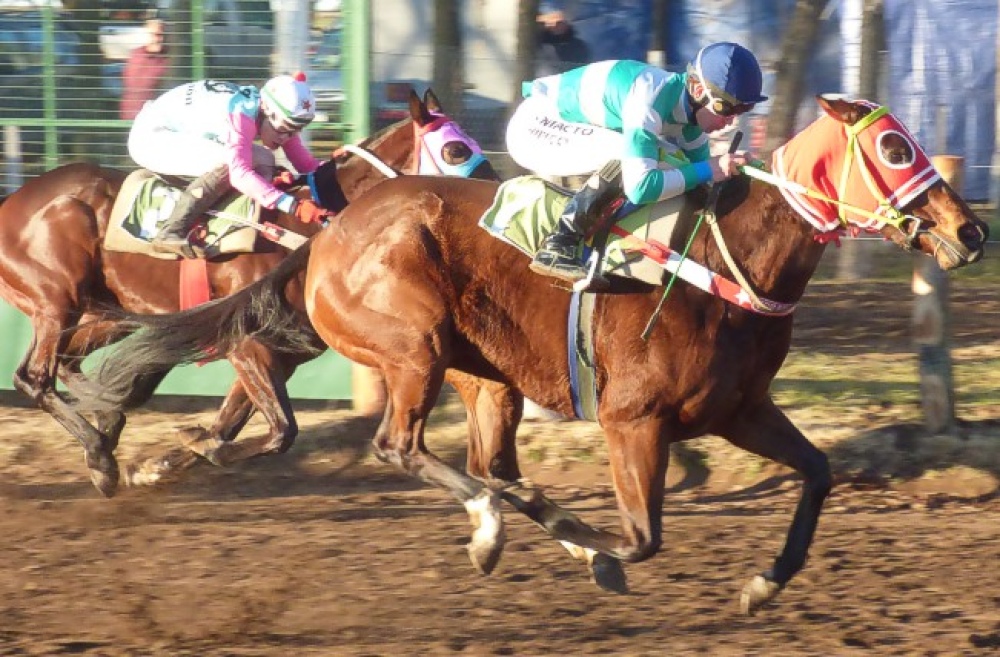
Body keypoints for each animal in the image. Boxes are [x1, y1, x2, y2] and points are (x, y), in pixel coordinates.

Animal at [0, 87, 504, 498]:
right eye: (456, 149)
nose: (493, 196)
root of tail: (14, 198)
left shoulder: (277, 353)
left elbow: (227, 427)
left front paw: (156, 466)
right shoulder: (247, 345)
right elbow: (281, 432)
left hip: (109, 313)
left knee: (71, 364)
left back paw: (108, 422)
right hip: (56, 302)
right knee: (34, 377)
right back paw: (100, 456)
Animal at [70, 96, 984, 608]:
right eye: (895, 148)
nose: (970, 230)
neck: (728, 264)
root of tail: (331, 233)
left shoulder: (739, 408)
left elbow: (820, 472)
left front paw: (763, 583)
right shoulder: (632, 419)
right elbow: (643, 536)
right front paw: (599, 552)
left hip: (486, 376)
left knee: (491, 462)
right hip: (415, 349)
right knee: (402, 445)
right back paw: (487, 528)